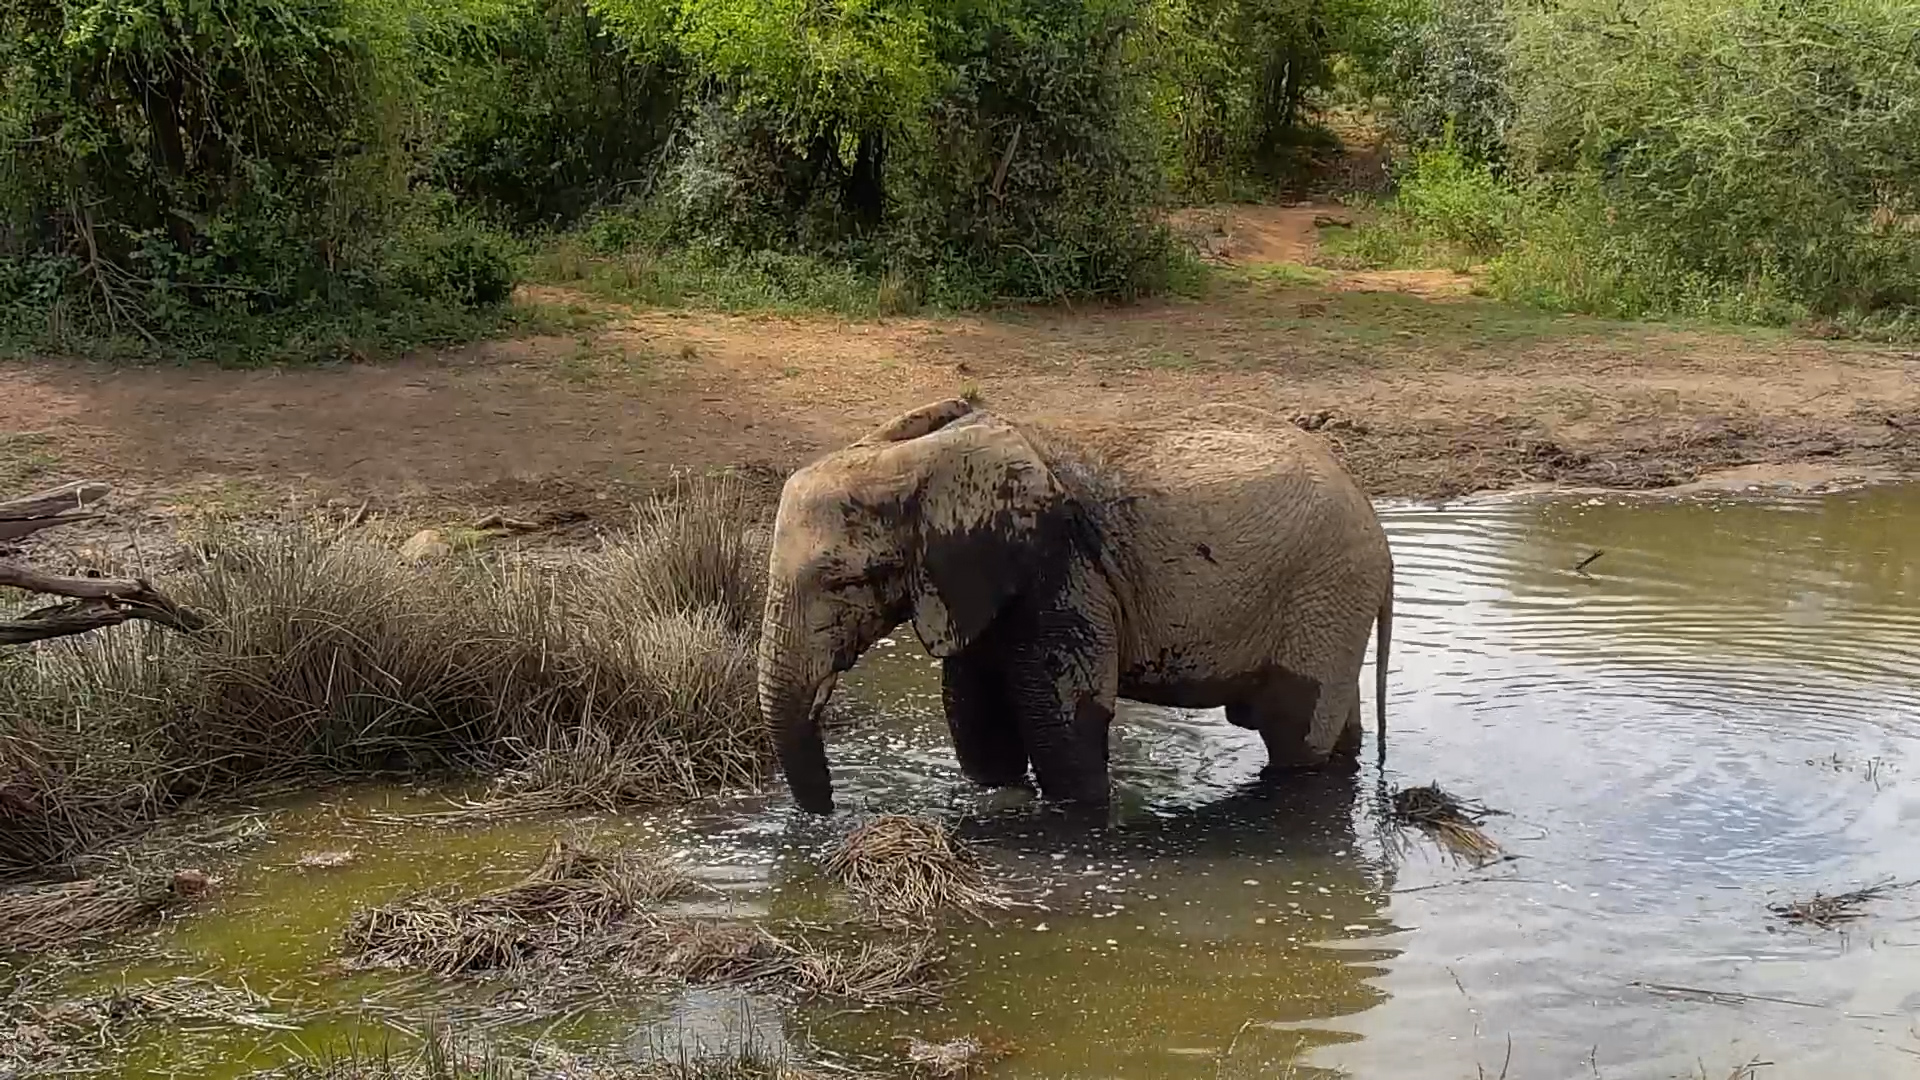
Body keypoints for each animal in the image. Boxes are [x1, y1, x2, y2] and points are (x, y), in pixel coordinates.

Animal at [756, 396, 1394, 814]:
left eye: (848, 582)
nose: (831, 813)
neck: (920, 459)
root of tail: (1374, 522)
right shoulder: (977, 581)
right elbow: (975, 717)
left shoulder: (1063, 571)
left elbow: (1062, 723)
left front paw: (1075, 818)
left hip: (1324, 590)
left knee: (1292, 729)